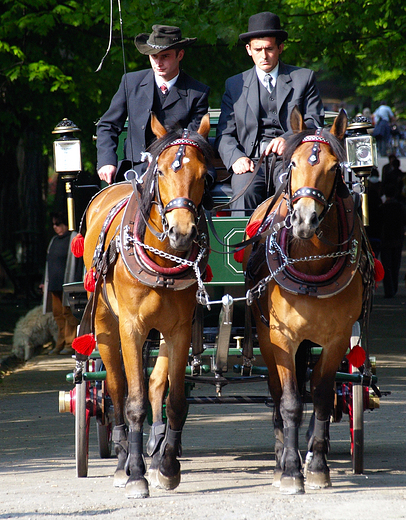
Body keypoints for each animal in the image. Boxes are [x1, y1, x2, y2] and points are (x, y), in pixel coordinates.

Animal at [81, 112, 211, 496]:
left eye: (204, 175)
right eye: (163, 171)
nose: (181, 232)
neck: (163, 257)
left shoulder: (180, 329)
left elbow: (175, 400)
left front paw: (166, 468)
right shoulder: (132, 327)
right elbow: (134, 401)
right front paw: (136, 474)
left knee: (155, 384)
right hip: (106, 327)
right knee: (117, 388)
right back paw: (123, 461)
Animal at [243, 107, 372, 494]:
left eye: (332, 168)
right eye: (293, 163)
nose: (304, 220)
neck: (310, 262)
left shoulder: (336, 339)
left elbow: (320, 397)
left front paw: (316, 466)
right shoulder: (283, 339)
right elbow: (289, 403)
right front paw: (289, 471)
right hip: (266, 338)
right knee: (278, 395)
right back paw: (280, 459)